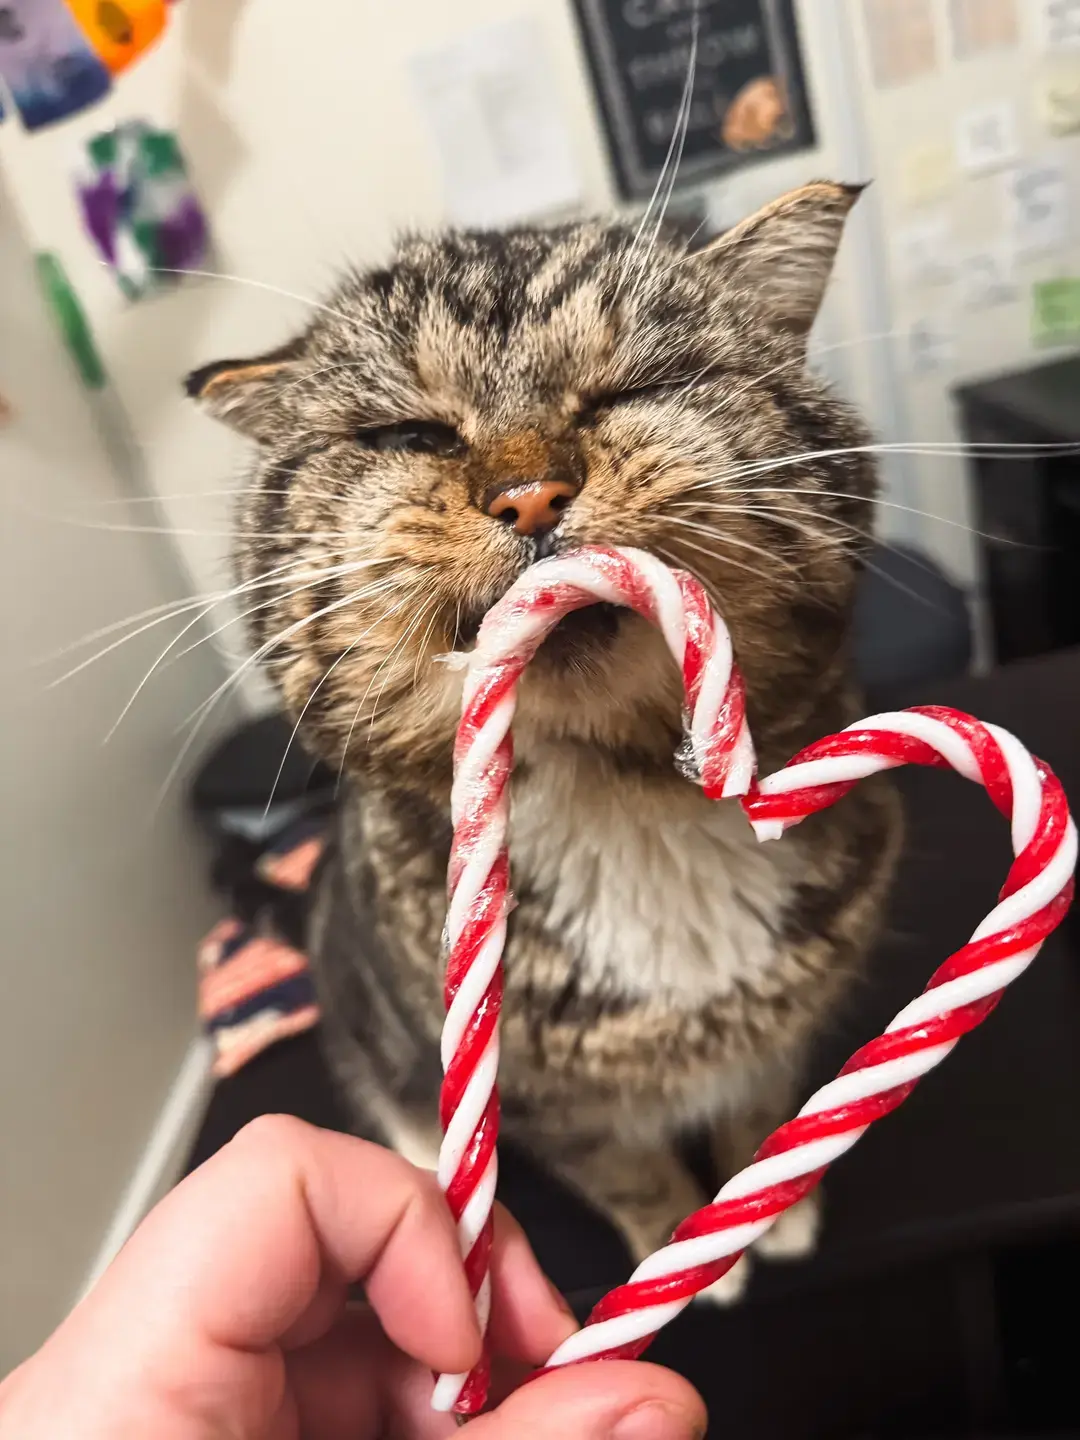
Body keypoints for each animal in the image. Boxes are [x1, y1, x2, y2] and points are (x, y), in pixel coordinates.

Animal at [190, 182, 898, 1307]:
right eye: (409, 431)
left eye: (637, 387)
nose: (530, 495)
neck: (629, 803)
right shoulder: (543, 1105)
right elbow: (628, 1170)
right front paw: (679, 1248)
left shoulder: (787, 1029)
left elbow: (760, 1108)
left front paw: (765, 1210)